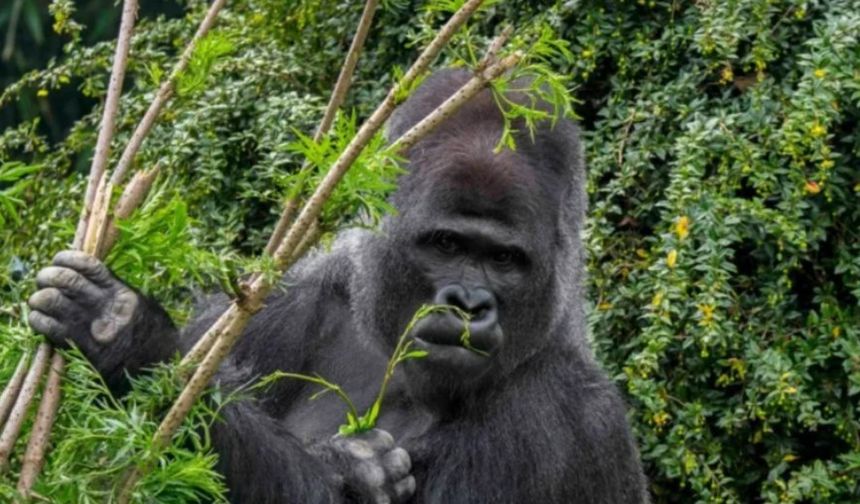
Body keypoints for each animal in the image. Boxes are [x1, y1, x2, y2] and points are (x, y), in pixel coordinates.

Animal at [26, 71, 648, 504]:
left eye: (503, 259)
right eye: (447, 245)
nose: (469, 305)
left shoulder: (569, 418)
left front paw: (131, 342)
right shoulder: (278, 301)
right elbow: (103, 472)